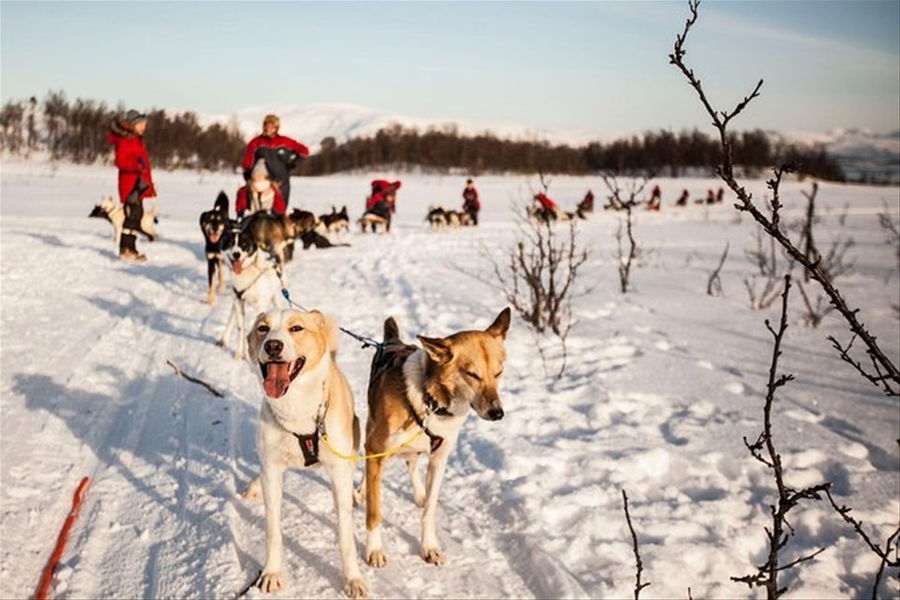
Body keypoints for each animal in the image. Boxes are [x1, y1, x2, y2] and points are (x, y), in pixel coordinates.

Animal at [244, 312, 368, 596]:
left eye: (296, 328)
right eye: (263, 329)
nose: (273, 345)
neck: (297, 412)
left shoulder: (338, 473)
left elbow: (346, 536)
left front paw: (353, 578)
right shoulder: (273, 471)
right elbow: (273, 530)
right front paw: (271, 572)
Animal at [362, 310, 510, 568]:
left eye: (498, 372)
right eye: (472, 374)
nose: (497, 413)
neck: (429, 400)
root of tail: (392, 341)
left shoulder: (439, 460)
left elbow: (430, 510)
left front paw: (429, 547)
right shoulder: (376, 452)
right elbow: (374, 512)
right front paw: (374, 550)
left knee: (411, 463)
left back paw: (419, 493)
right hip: (372, 436)